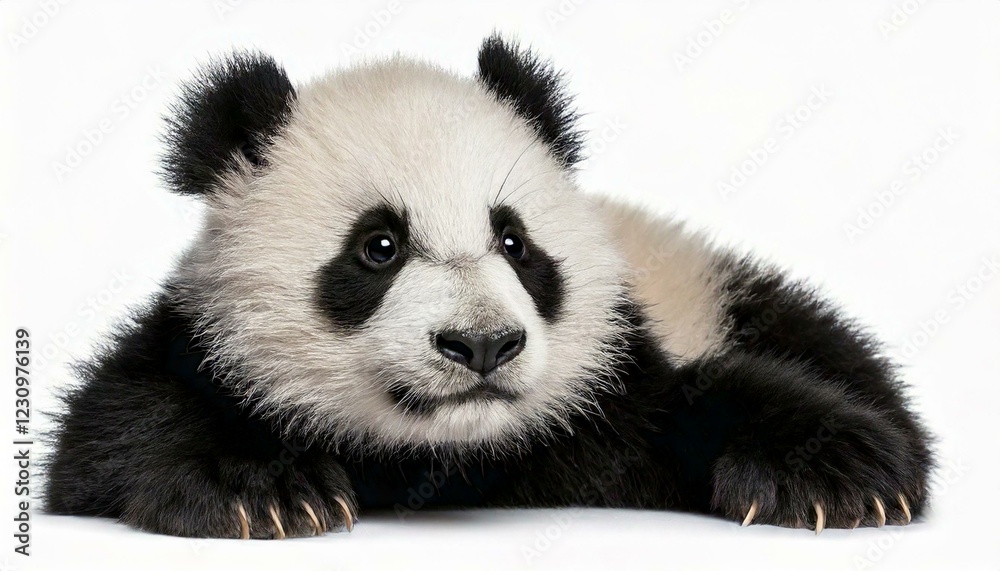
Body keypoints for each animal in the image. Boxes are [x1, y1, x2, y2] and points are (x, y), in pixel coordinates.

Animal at [45, 35, 932, 539]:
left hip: (718, 286)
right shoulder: (198, 340)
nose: (482, 345)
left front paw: (839, 474)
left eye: (514, 241)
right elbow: (116, 429)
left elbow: (702, 395)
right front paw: (260, 488)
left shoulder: (614, 379)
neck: (449, 453)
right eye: (378, 247)